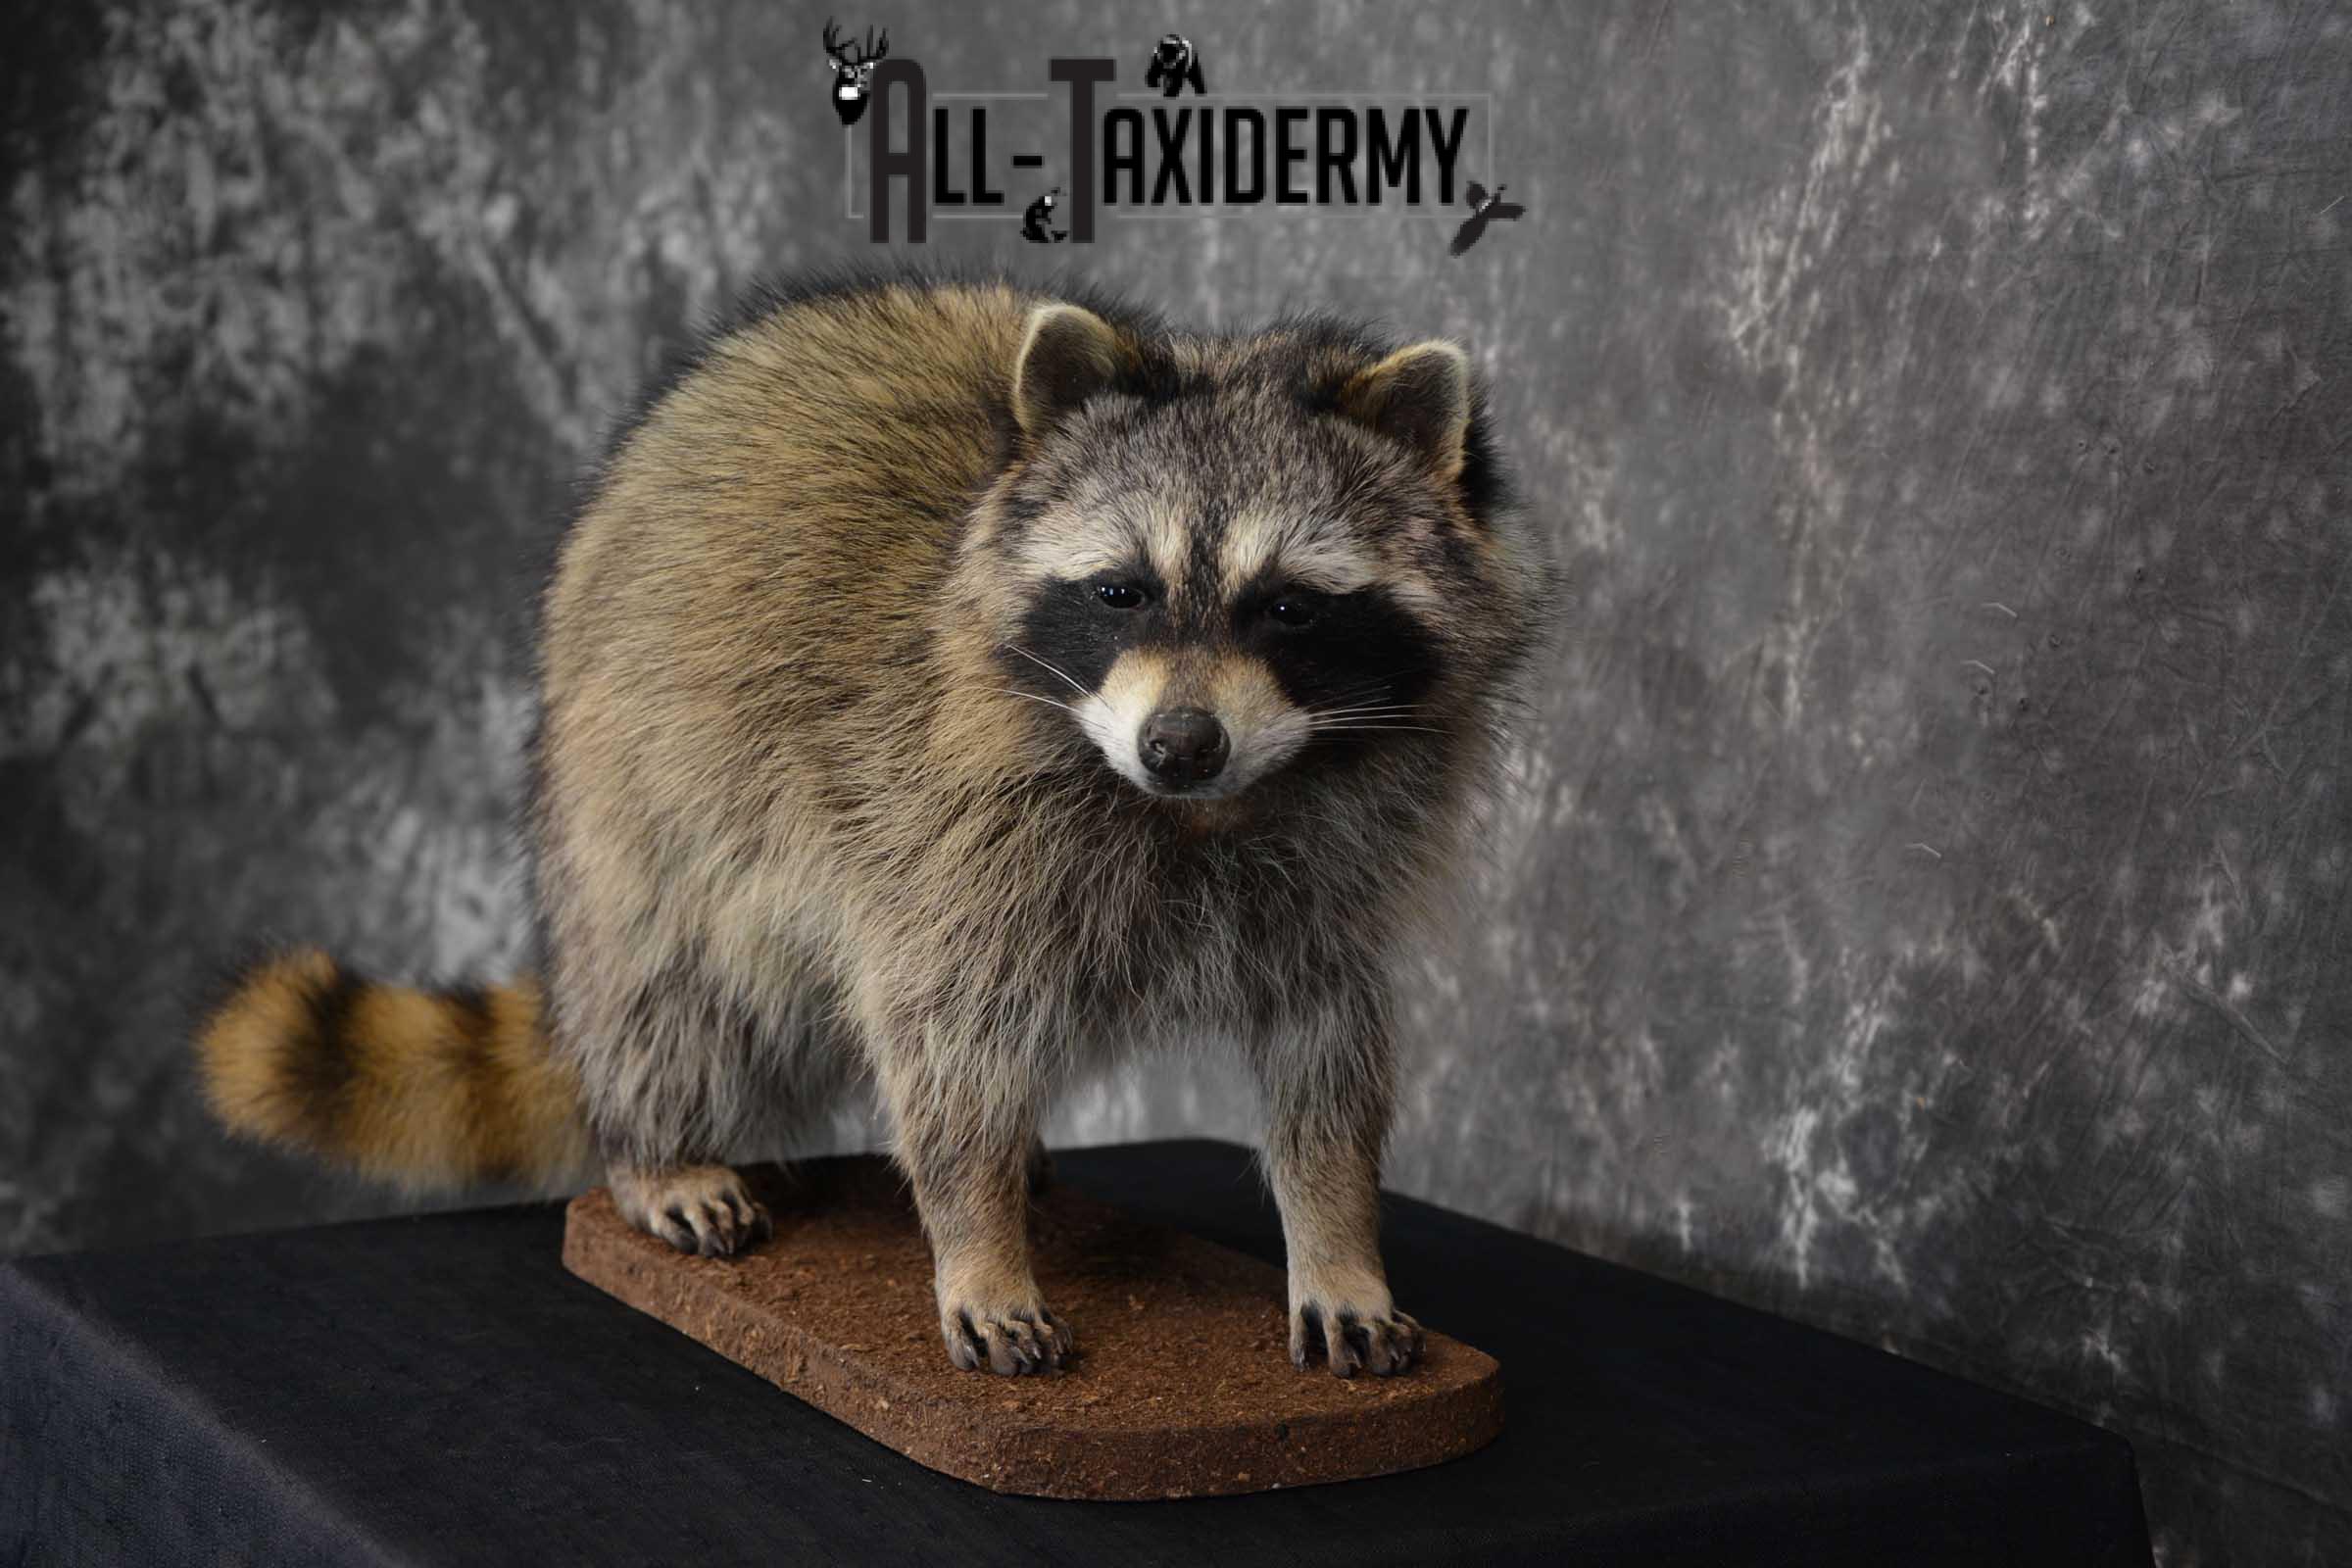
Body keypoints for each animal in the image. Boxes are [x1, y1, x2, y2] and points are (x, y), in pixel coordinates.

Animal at [197, 270, 1551, 1378]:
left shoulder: (1335, 864)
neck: (1205, 813)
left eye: (1289, 609)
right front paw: (977, 1242)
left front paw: (1336, 1237)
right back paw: (654, 1144)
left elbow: (1328, 1050)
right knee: (673, 987)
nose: (1180, 744)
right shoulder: (935, 828)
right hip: (633, 791)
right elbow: (941, 1041)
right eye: (1122, 590)